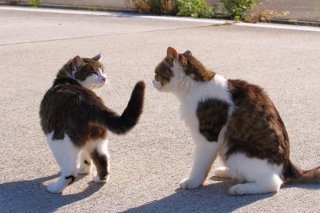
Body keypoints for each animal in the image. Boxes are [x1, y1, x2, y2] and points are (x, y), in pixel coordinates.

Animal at [40, 53, 145, 193]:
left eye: (102, 70)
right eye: (94, 72)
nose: (104, 78)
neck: (68, 80)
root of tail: (90, 102)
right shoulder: (88, 142)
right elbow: (86, 158)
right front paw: (84, 170)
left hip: (58, 141)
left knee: (70, 172)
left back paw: (55, 188)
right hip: (97, 140)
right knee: (102, 160)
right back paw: (99, 179)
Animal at [153, 46, 320, 195]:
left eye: (156, 73)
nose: (152, 81)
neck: (195, 86)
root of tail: (287, 165)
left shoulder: (208, 139)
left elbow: (200, 165)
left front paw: (192, 182)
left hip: (237, 153)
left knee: (273, 183)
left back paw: (240, 189)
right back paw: (225, 171)